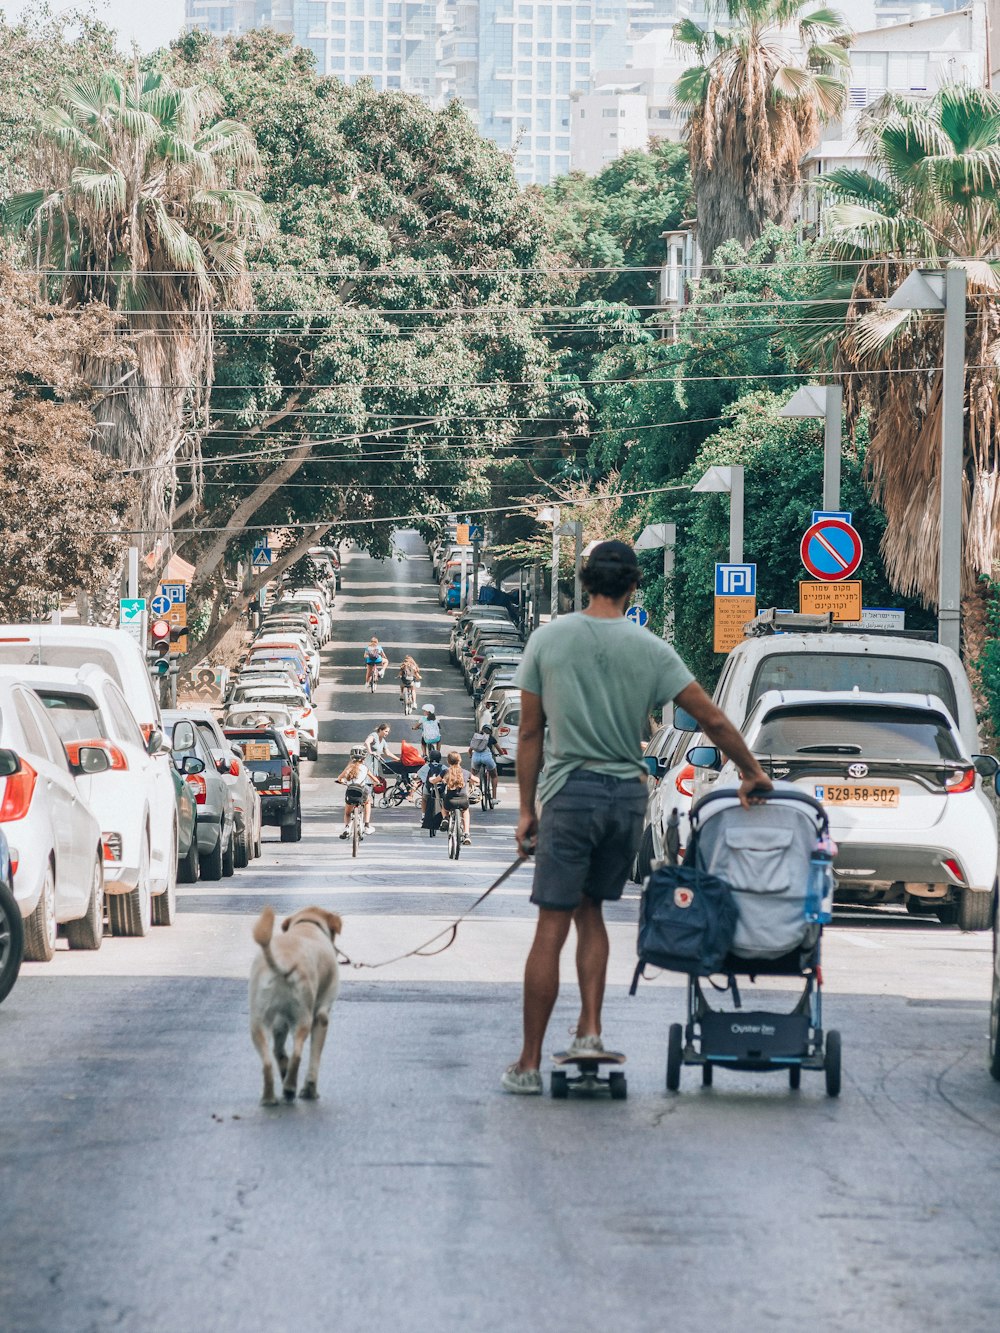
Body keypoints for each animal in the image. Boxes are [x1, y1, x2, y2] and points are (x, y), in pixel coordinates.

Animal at [250, 906, 344, 1103]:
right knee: (298, 1053)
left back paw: (269, 1098)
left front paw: (284, 1068)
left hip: (258, 1022)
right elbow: (314, 1056)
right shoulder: (321, 1016)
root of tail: (283, 962)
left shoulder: (280, 1021)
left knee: (268, 1061)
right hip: (303, 1018)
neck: (308, 924)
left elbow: (278, 1050)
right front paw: (310, 1089)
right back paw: (290, 1088)